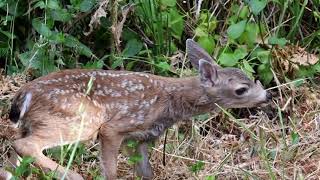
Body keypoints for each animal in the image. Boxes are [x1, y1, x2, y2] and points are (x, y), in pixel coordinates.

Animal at [7, 38, 272, 179]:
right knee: (25, 145)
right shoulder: (113, 128)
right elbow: (111, 171)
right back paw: (71, 175)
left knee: (13, 155)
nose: (267, 96)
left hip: (33, 124)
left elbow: (147, 172)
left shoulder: (141, 139)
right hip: (80, 120)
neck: (170, 103)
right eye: (241, 89)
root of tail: (24, 94)